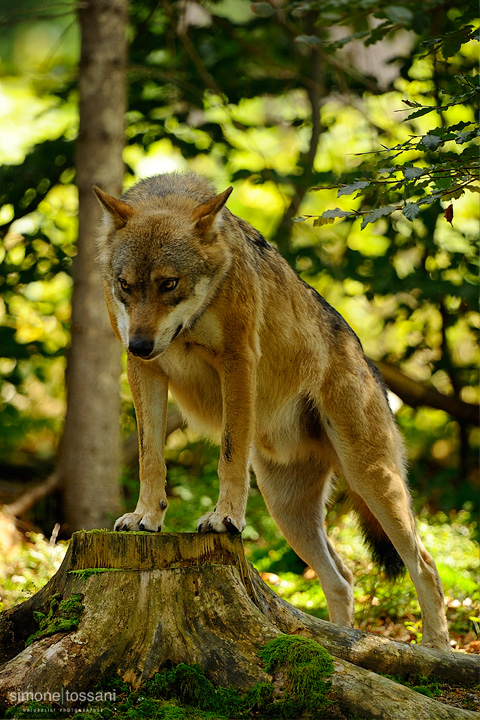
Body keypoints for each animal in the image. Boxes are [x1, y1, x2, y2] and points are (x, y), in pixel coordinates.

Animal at [93, 172, 450, 648]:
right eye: (125, 285)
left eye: (169, 283)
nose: (139, 344)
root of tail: (370, 366)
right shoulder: (145, 371)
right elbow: (150, 457)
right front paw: (146, 517)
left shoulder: (238, 361)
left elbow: (229, 454)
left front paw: (224, 517)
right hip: (289, 511)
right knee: (343, 578)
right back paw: (340, 642)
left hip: (372, 482)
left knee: (425, 565)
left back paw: (437, 650)